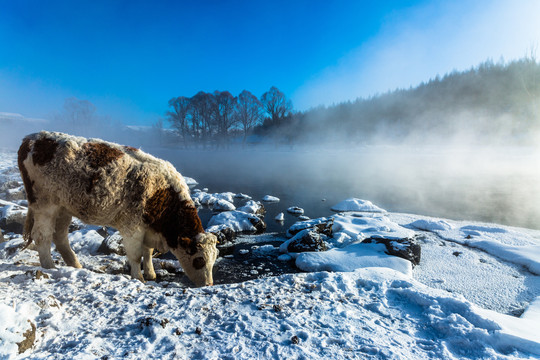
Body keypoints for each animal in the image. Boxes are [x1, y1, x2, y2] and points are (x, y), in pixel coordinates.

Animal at [17, 131, 218, 286]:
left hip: (63, 208)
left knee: (60, 237)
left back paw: (76, 265)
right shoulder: (133, 226)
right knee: (42, 236)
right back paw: (50, 267)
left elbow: (148, 252)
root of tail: (31, 138)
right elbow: (136, 255)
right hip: (44, 205)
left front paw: (151, 274)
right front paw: (139, 278)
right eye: (199, 260)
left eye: (214, 259)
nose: (208, 284)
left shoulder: (148, 227)